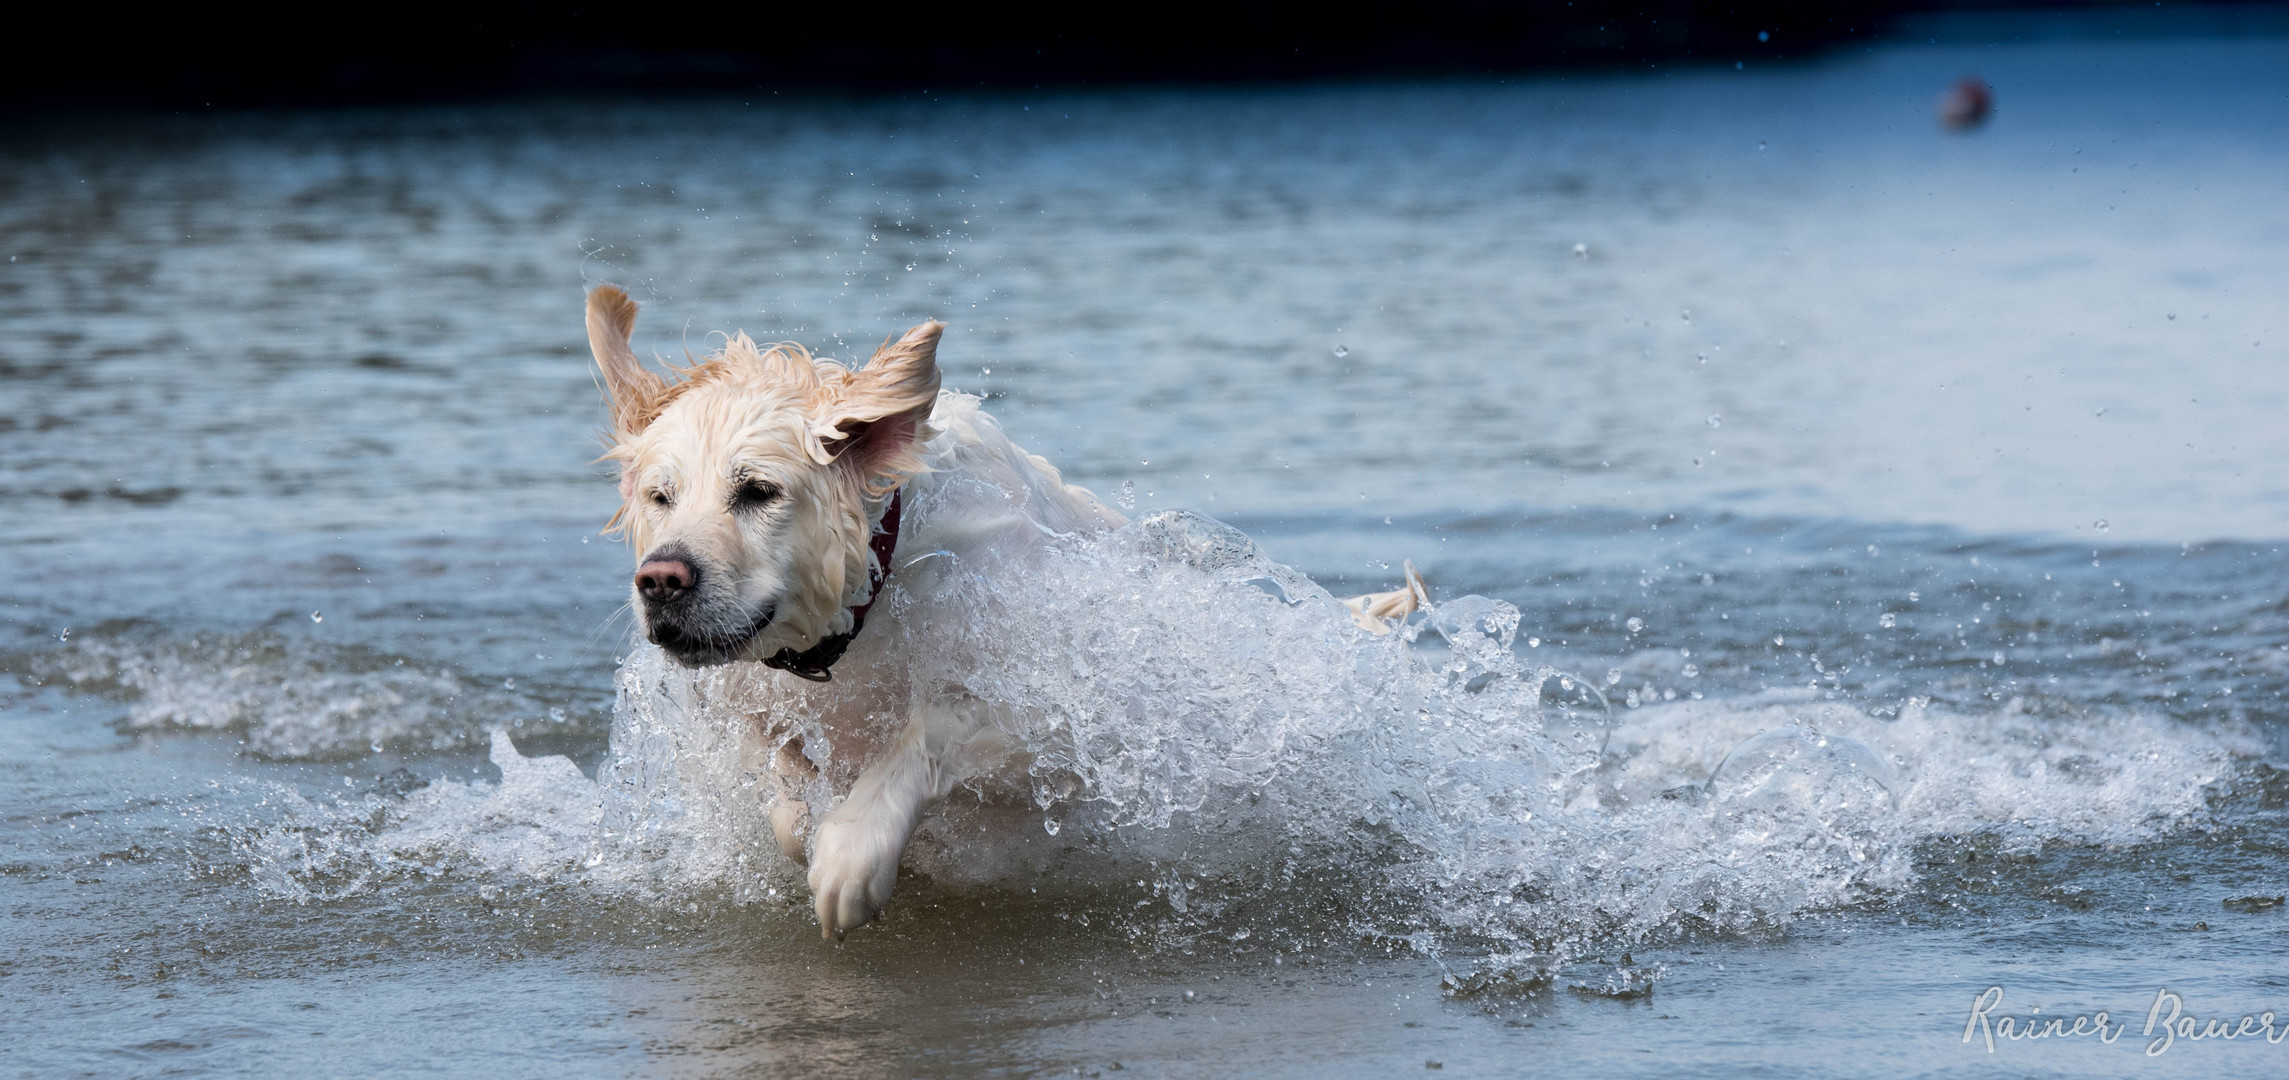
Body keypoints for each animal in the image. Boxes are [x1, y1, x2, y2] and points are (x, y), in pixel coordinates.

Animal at [581, 287, 1419, 938]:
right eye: (660, 497)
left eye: (758, 490)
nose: (661, 581)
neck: (865, 607)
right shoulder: (745, 704)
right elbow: (783, 792)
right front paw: (809, 825)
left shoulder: (1056, 713)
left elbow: (921, 737)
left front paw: (851, 855)